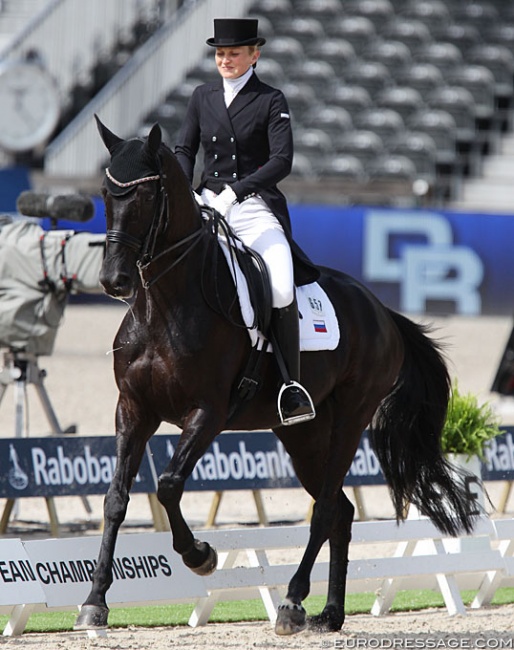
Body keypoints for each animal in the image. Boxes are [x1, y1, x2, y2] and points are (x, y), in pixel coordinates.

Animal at [77, 116, 476, 632]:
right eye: (106, 194)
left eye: (146, 196)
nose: (114, 281)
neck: (163, 306)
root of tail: (381, 311)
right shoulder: (133, 408)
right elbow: (116, 499)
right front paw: (95, 601)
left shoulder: (207, 412)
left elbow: (168, 485)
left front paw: (200, 555)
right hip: (303, 433)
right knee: (341, 510)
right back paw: (329, 613)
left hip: (352, 417)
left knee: (325, 508)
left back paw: (292, 601)